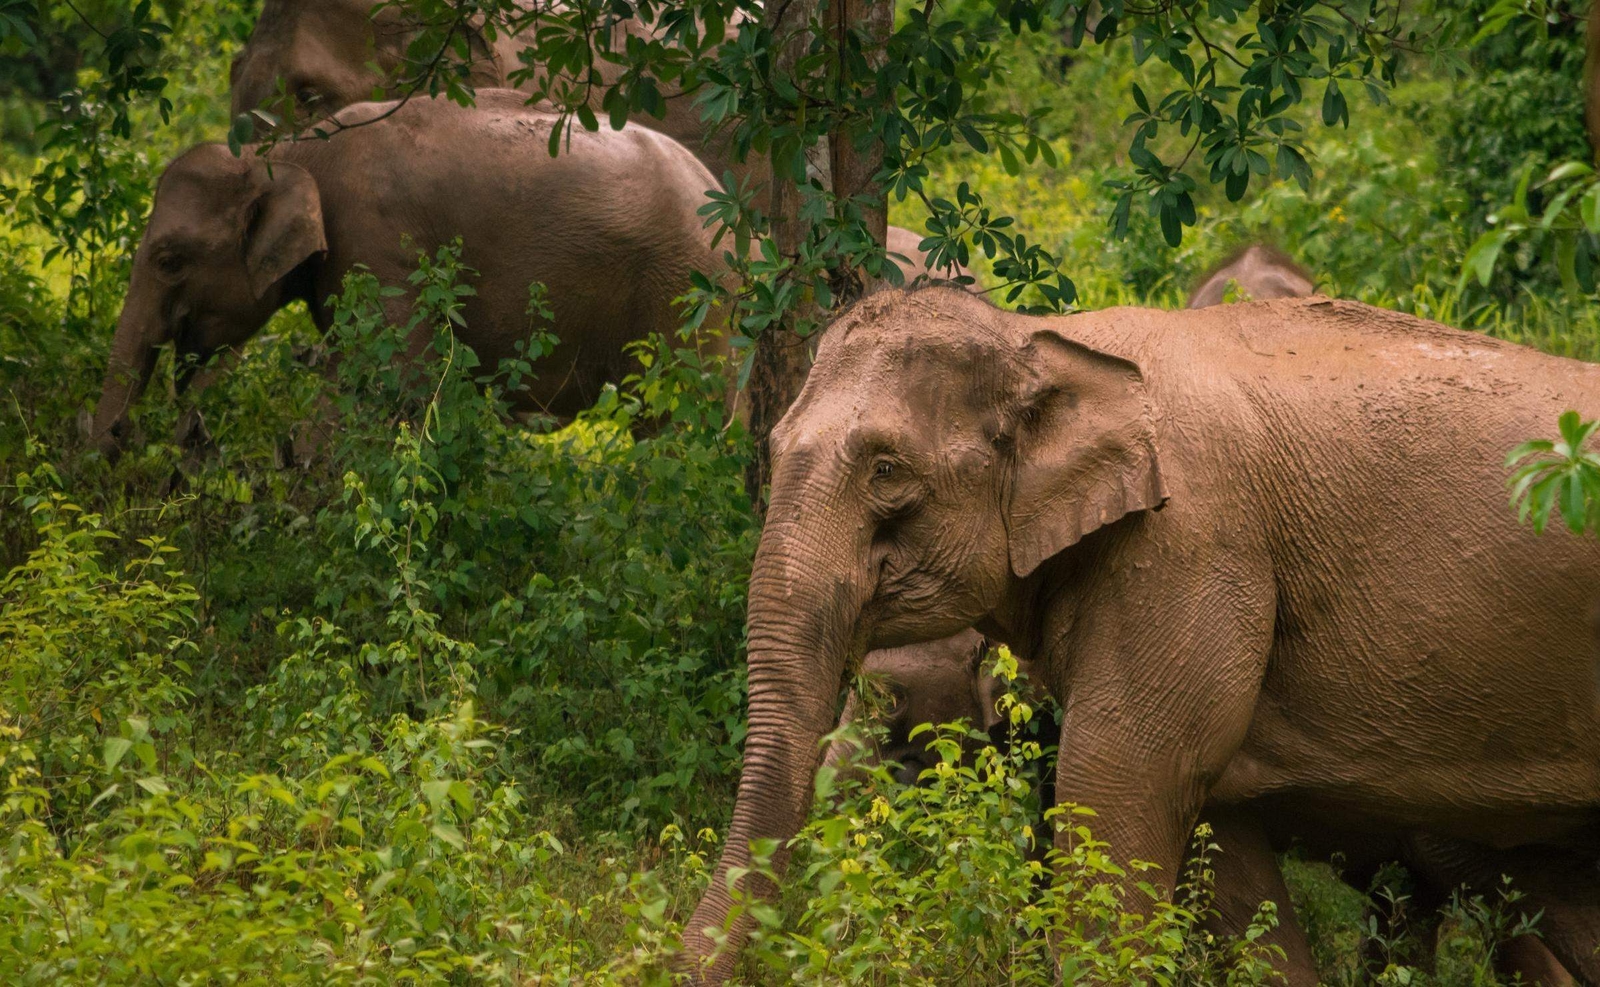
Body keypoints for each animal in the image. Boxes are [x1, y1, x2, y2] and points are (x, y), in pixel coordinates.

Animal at [89, 90, 729, 459]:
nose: (121, 436)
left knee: (675, 418)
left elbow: (398, 378)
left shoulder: (376, 238)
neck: (292, 152)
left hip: (684, 292)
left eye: (169, 261)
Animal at [681, 285, 1600, 983]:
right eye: (772, 447)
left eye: (886, 471)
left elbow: (1120, 782)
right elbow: (1220, 844)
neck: (1050, 338)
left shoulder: (1191, 548)